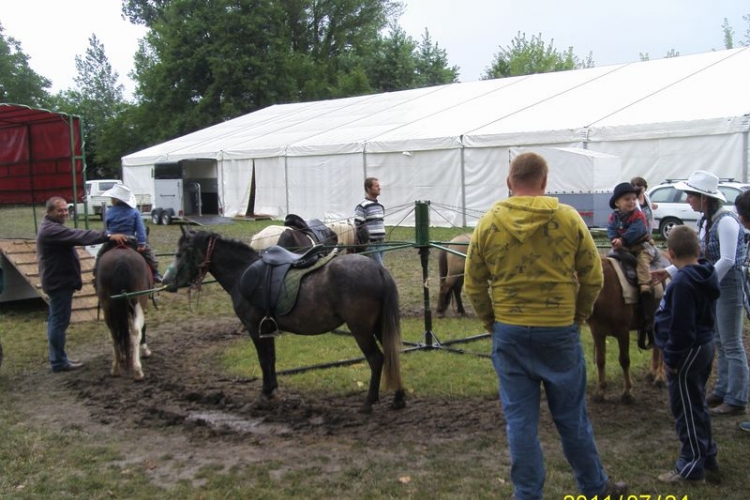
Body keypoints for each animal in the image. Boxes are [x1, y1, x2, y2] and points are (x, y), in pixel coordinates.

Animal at [588, 256, 668, 404]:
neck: (605, 289)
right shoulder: (597, 332)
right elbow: (600, 360)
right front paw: (600, 392)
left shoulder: (623, 332)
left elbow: (624, 360)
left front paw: (627, 393)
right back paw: (652, 373)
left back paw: (660, 378)